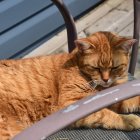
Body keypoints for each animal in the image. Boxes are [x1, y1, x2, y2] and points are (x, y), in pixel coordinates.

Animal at [0, 31, 139, 139]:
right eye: (96, 68)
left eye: (114, 68)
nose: (105, 79)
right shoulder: (72, 104)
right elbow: (104, 114)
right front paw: (129, 120)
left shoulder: (112, 95)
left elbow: (130, 100)